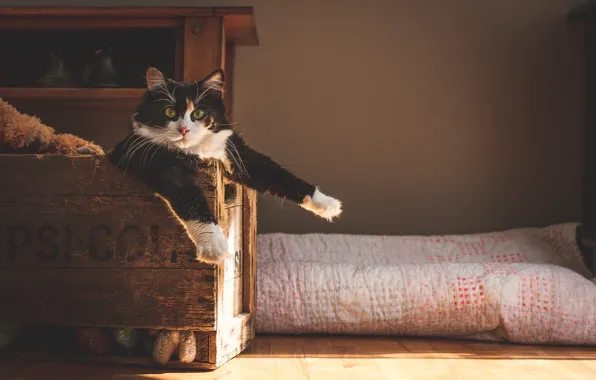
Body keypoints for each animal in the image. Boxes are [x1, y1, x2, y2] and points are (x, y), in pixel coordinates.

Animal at [107, 67, 340, 264]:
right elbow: (190, 197)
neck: (195, 152)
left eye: (198, 113)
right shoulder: (160, 165)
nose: (184, 130)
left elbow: (279, 174)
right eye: (170, 112)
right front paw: (213, 245)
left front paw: (327, 204)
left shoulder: (239, 154)